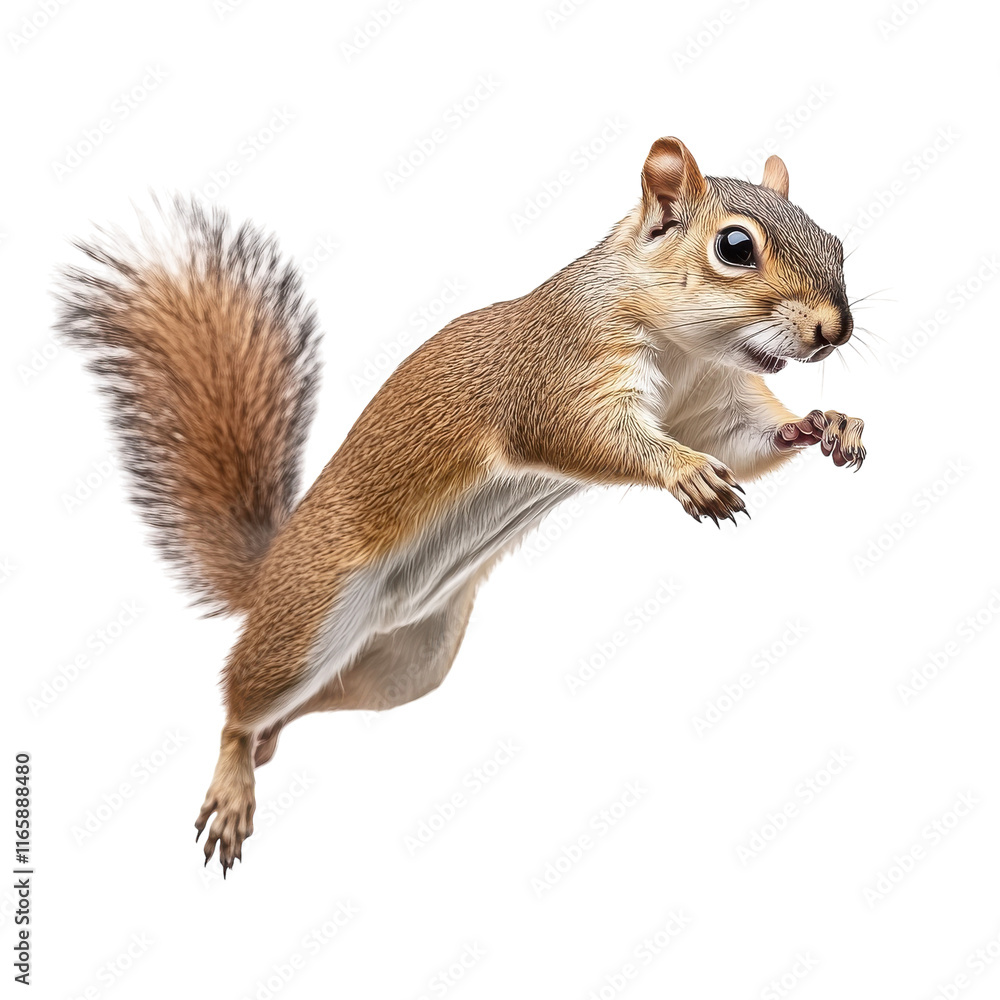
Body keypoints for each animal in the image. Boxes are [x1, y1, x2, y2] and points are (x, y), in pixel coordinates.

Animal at [57, 137, 866, 873]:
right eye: (736, 246)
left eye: (835, 242)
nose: (835, 330)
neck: (681, 350)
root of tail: (269, 574)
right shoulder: (555, 373)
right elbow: (586, 434)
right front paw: (686, 472)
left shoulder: (712, 401)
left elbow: (752, 438)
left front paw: (827, 424)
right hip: (305, 618)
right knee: (240, 705)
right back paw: (234, 777)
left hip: (412, 663)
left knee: (312, 703)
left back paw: (268, 745)